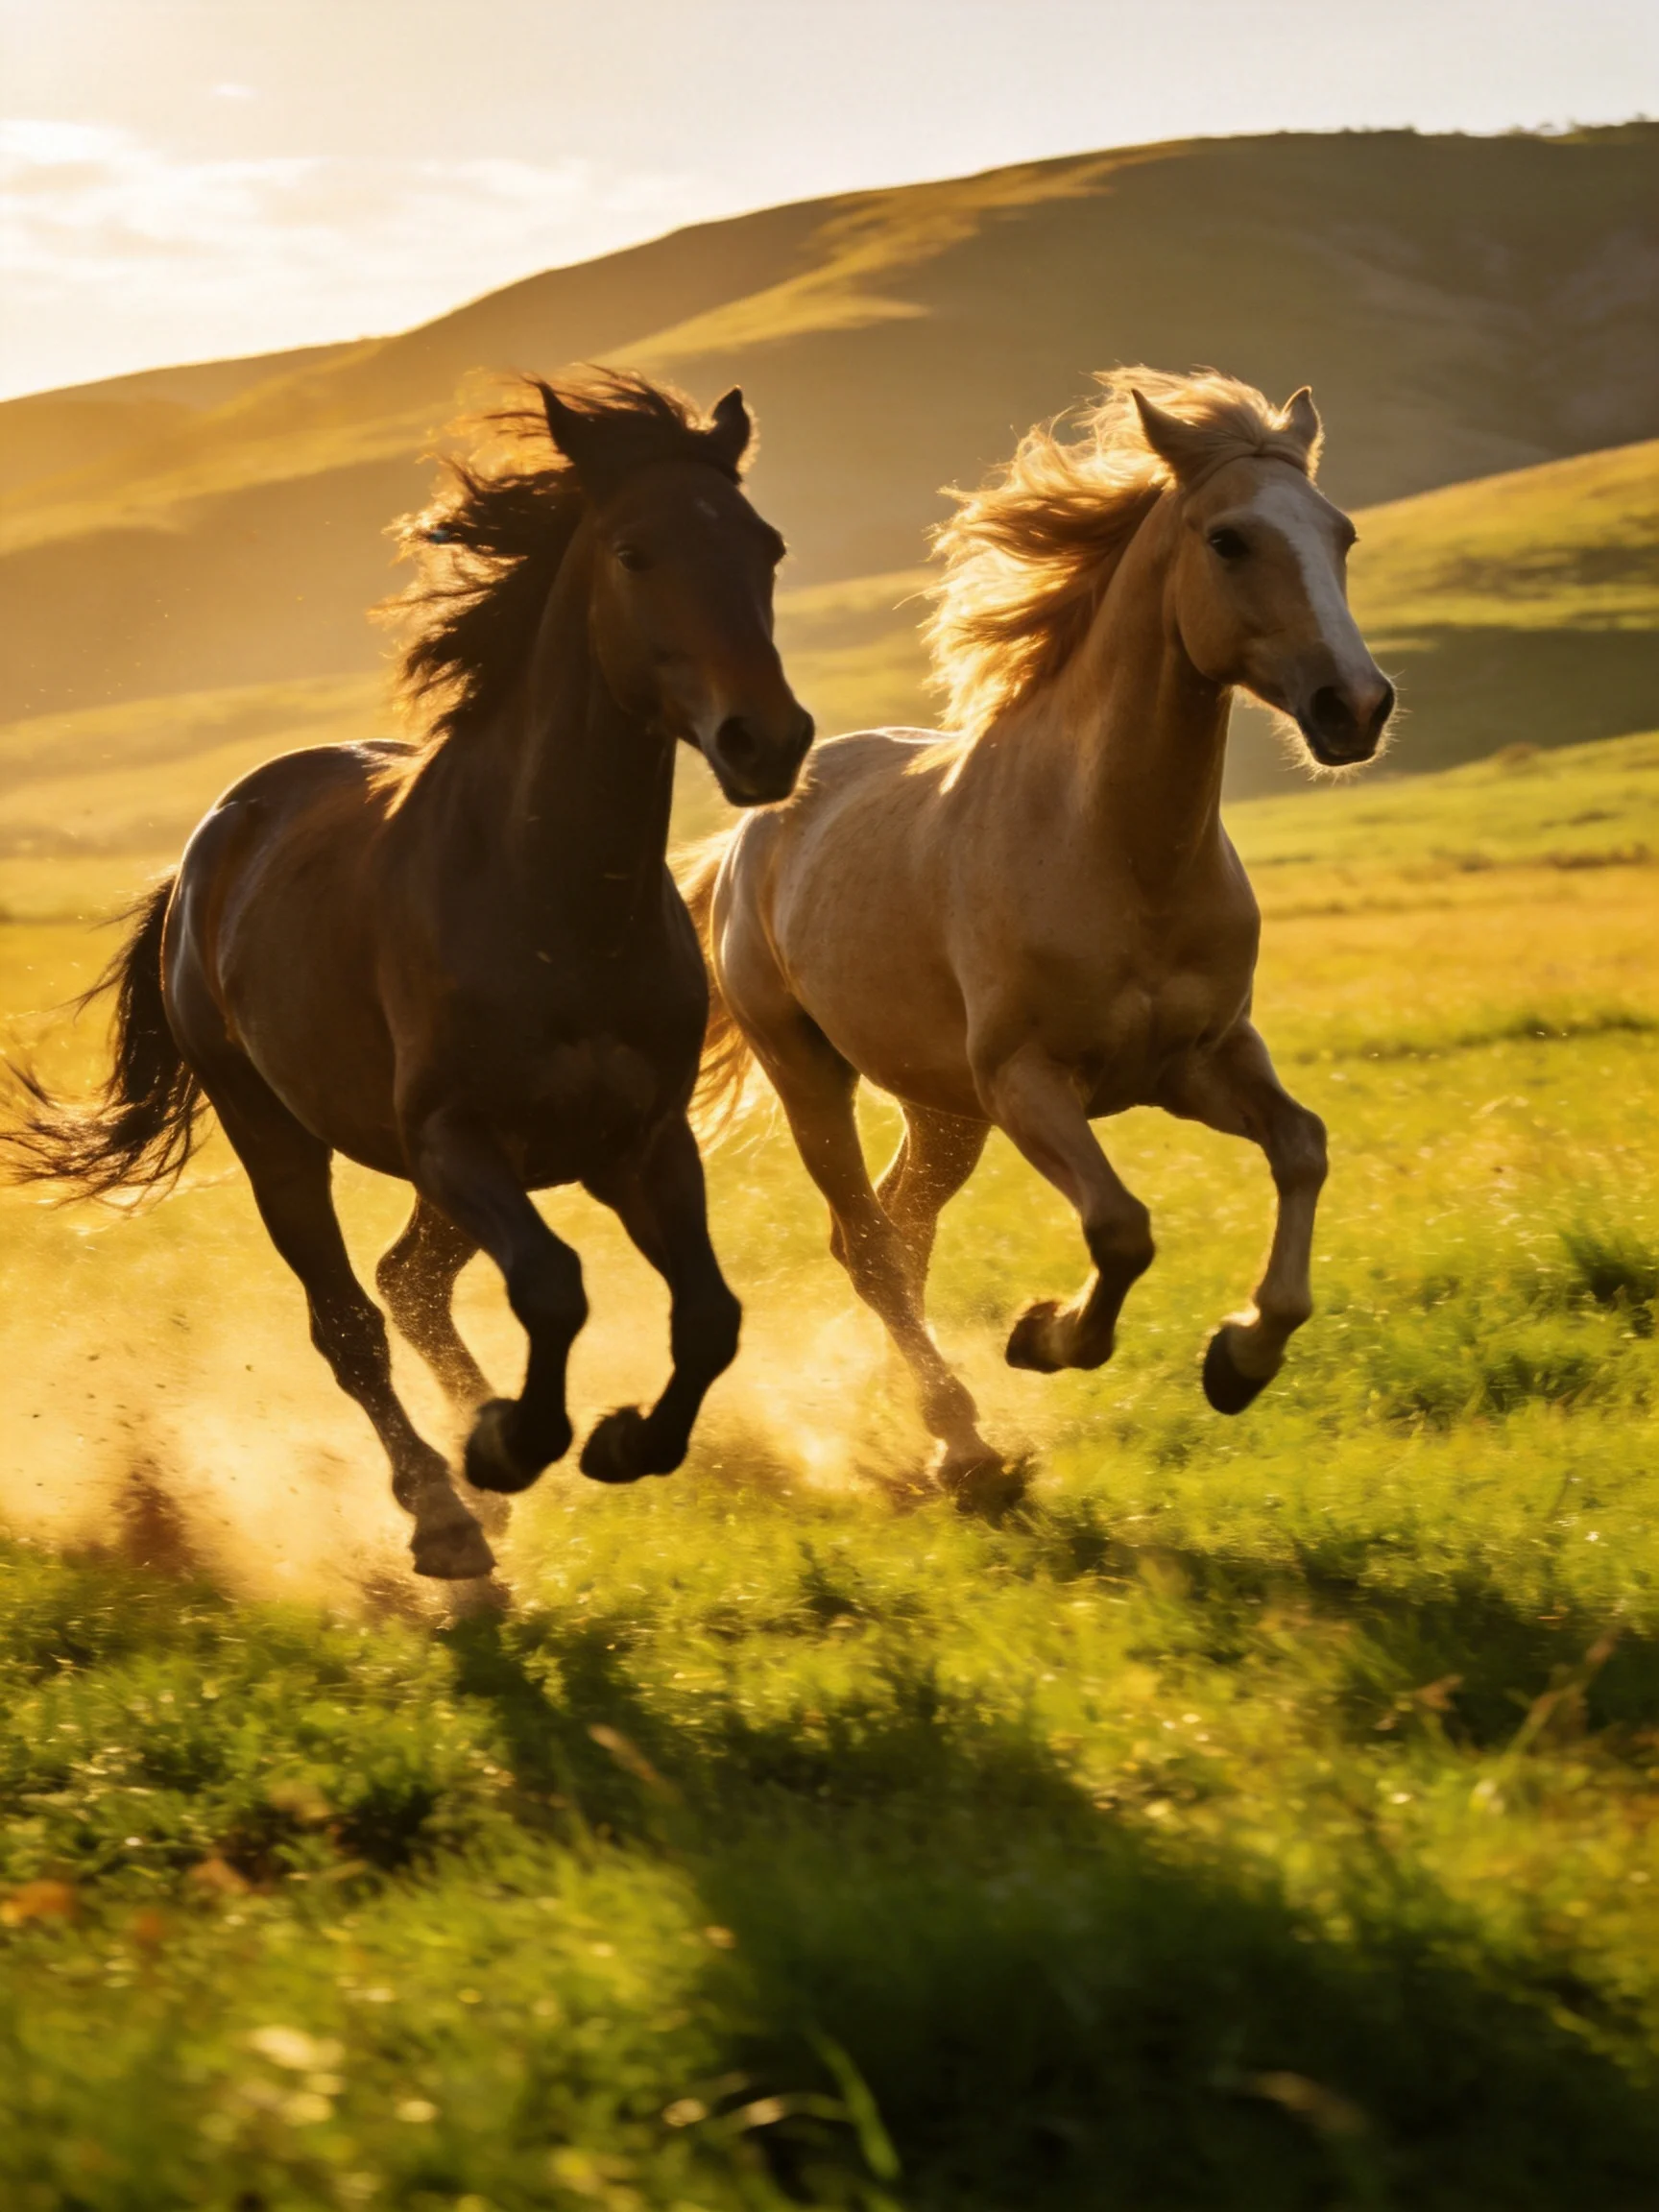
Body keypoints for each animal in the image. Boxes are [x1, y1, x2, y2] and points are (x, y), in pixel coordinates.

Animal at [7, 371, 814, 1579]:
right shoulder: (455, 1138)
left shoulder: (638, 1142)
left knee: (408, 1281)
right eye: (634, 552)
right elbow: (552, 1287)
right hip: (277, 1135)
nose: (768, 740)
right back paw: (445, 1514)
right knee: (351, 1319)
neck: (552, 906)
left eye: (765, 546)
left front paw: (617, 1442)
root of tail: (214, 838)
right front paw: (507, 1445)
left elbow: (709, 1316)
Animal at [680, 367, 1392, 1508]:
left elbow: (1303, 1150)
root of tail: (754, 831)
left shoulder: (1201, 1062)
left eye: (1341, 533)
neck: (1119, 850)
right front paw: (1046, 1337)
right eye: (1229, 539)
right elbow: (1121, 1228)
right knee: (867, 1242)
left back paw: (927, 1424)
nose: (1356, 706)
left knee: (902, 1228)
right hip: (814, 1076)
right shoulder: (1028, 1082)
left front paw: (1240, 1358)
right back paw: (963, 1443)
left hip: (942, 1109)